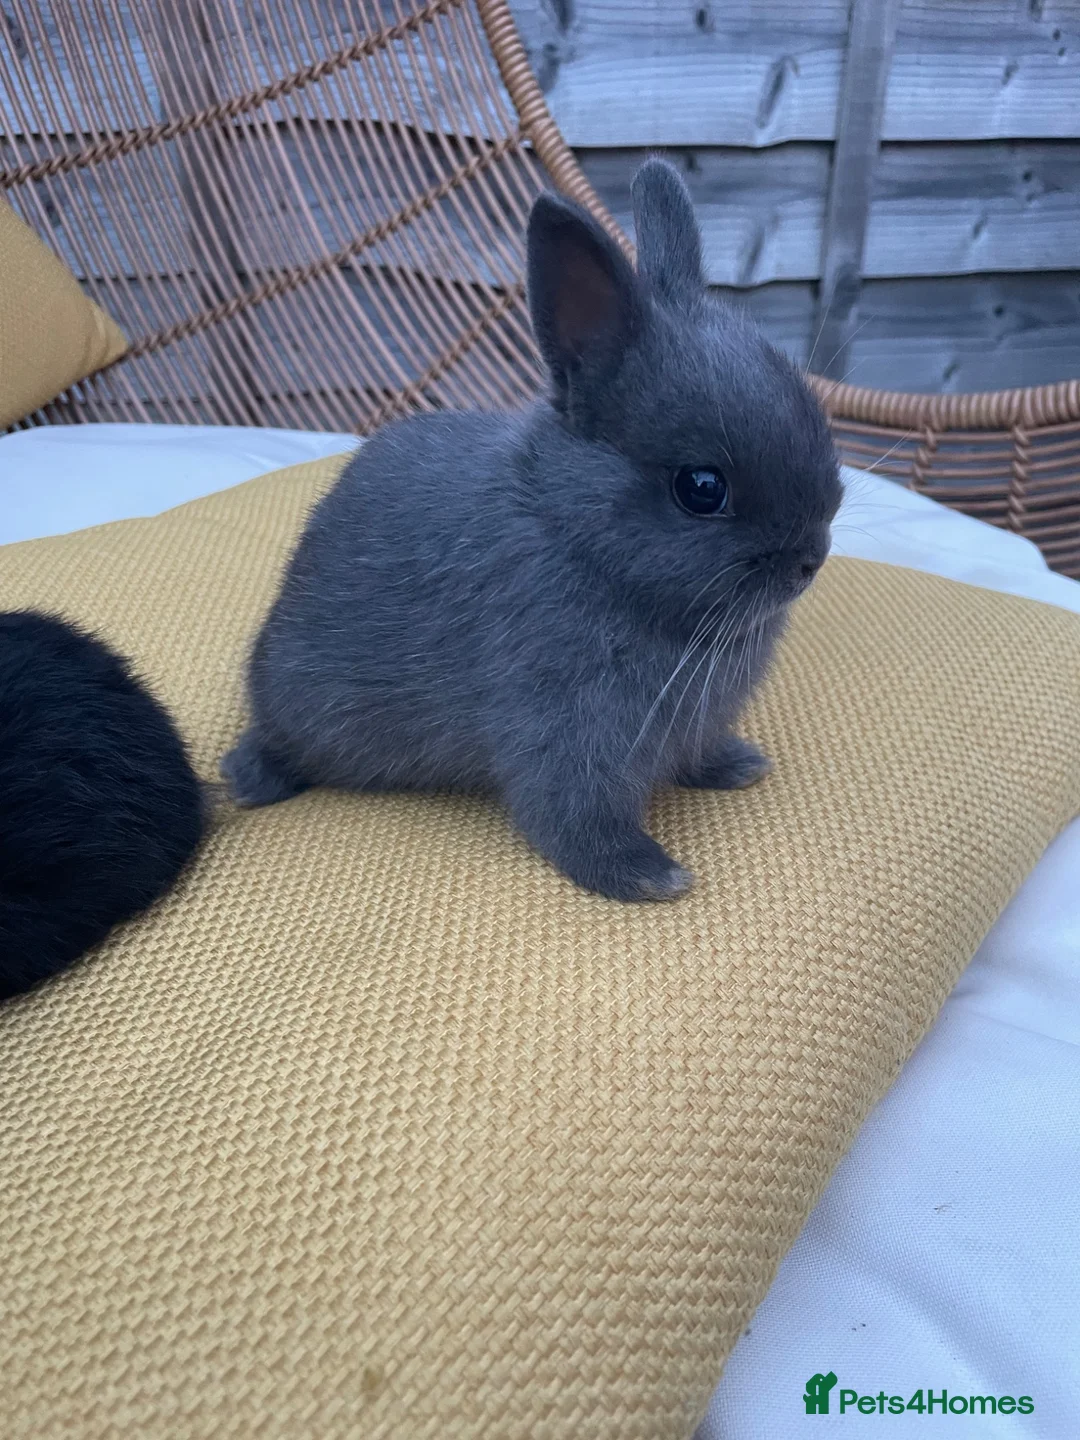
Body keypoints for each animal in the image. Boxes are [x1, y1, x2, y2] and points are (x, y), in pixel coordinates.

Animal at [222, 158, 842, 902]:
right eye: (701, 489)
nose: (812, 558)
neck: (577, 535)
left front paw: (736, 766)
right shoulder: (562, 727)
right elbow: (570, 817)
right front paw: (650, 876)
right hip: (297, 700)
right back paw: (247, 781)